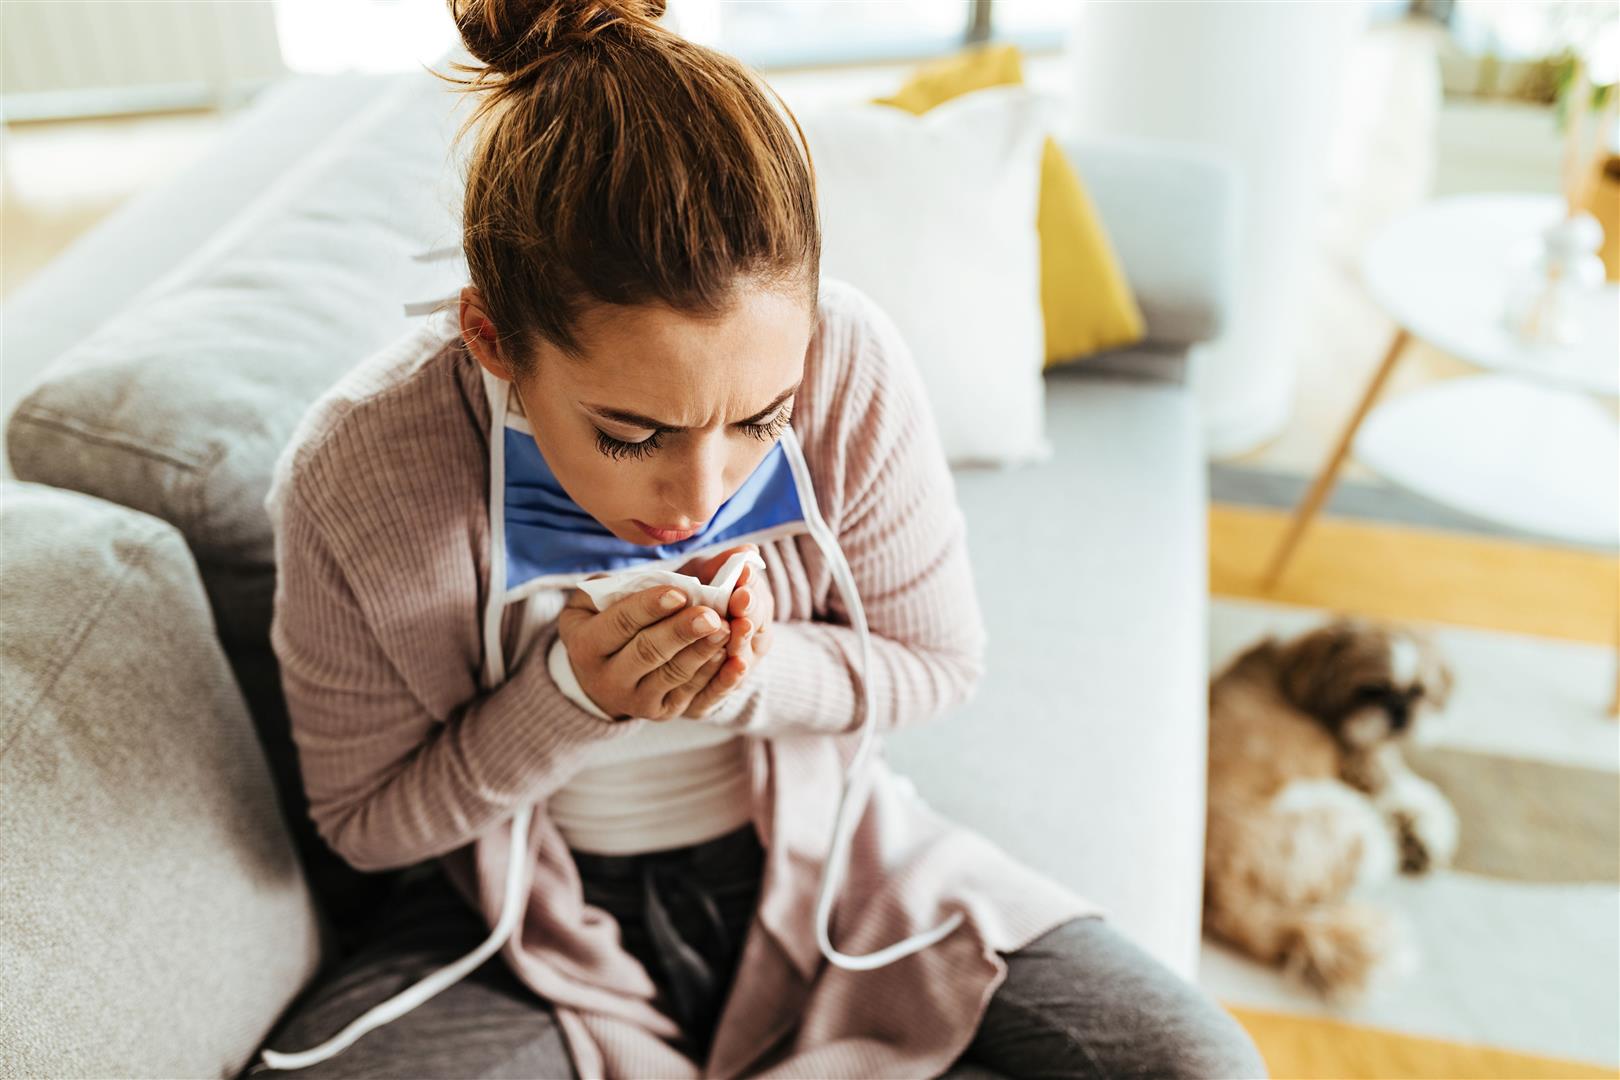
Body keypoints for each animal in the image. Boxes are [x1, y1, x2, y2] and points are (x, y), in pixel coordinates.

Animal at [1205, 615, 1458, 997]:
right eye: (1371, 690)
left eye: (1418, 691)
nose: (1400, 712)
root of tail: (1225, 897)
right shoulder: (1364, 760)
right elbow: (1412, 792)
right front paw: (1426, 832)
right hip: (1346, 815)